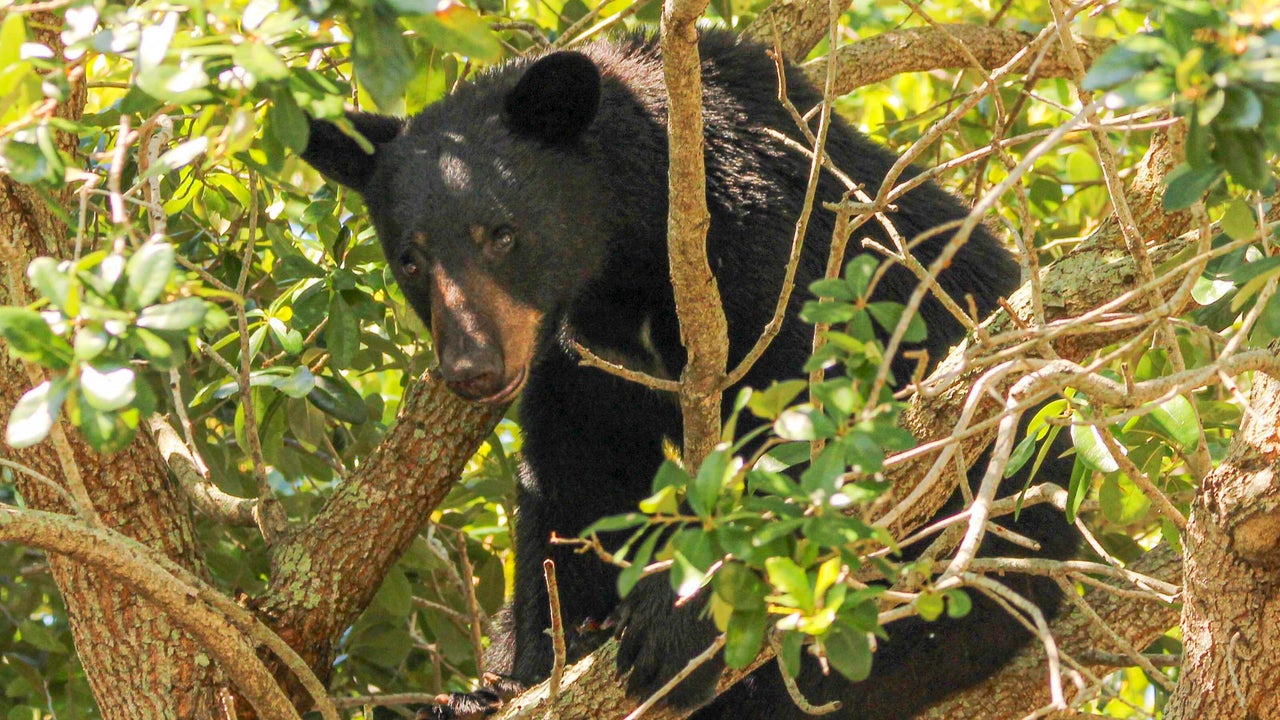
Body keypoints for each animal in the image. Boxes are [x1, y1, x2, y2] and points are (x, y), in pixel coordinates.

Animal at [301, 30, 1077, 720]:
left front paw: (675, 621)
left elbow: (822, 432)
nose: (473, 368)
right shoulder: (580, 357)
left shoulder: (783, 261)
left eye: (502, 233)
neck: (631, 259)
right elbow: (574, 485)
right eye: (410, 259)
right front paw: (519, 672)